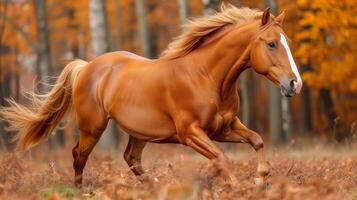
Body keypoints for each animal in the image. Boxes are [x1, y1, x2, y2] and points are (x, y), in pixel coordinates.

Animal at [0, 6, 300, 188]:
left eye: (286, 41)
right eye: (271, 43)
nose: (294, 84)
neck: (205, 76)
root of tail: (86, 66)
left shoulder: (224, 127)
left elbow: (257, 140)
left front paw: (260, 181)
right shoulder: (190, 133)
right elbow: (223, 160)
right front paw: (237, 187)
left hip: (139, 132)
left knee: (131, 158)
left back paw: (155, 185)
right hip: (93, 128)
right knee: (79, 155)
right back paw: (81, 189)